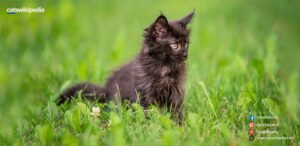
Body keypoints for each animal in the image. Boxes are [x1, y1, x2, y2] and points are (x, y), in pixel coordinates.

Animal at [56, 11, 195, 123]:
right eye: (175, 45)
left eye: (186, 44)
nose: (186, 55)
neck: (164, 67)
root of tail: (105, 90)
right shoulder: (145, 93)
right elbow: (149, 112)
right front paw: (152, 125)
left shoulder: (176, 92)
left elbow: (176, 111)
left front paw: (179, 126)